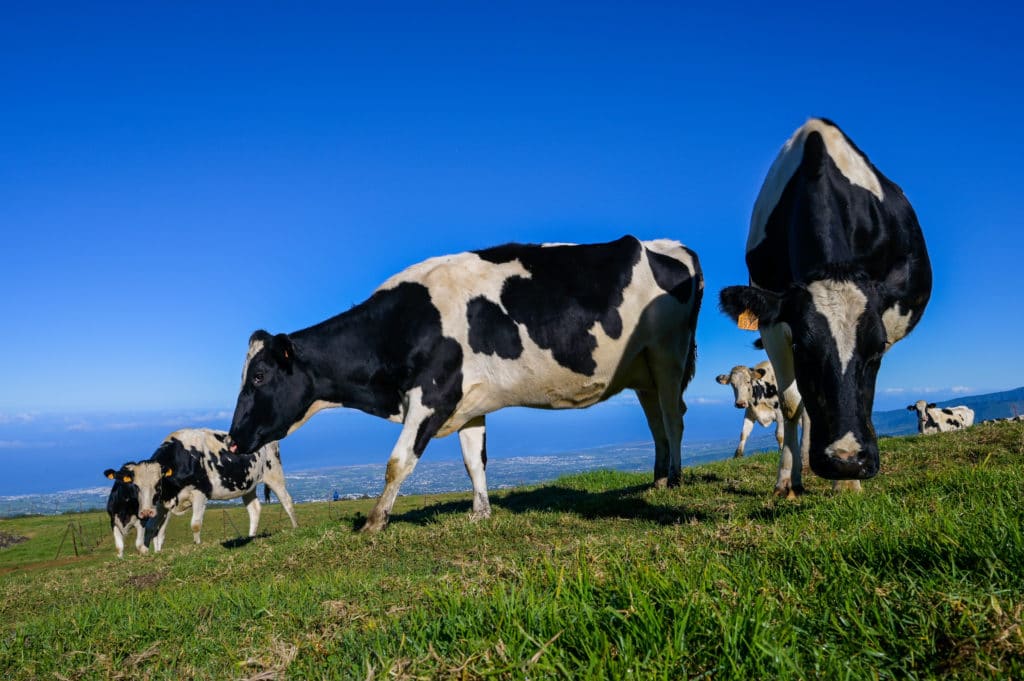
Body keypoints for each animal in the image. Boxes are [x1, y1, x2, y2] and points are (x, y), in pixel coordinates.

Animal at [112, 429, 298, 552]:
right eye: (136, 486)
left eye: (158, 484)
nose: (145, 512)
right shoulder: (163, 502)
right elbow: (152, 528)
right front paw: (150, 552)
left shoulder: (200, 493)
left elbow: (195, 524)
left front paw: (197, 546)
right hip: (247, 485)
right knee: (254, 509)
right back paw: (251, 537)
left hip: (274, 474)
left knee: (287, 501)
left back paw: (296, 527)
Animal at [227, 235, 703, 532]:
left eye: (259, 376)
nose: (232, 438)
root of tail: (668, 245)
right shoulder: (469, 404)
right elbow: (475, 461)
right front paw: (481, 512)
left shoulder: (433, 393)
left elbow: (398, 461)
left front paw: (375, 521)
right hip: (641, 367)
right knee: (657, 421)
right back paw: (657, 479)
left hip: (668, 352)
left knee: (674, 418)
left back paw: (675, 477)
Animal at [719, 118, 932, 497]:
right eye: (803, 348)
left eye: (877, 349)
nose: (845, 460)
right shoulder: (774, 320)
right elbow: (791, 404)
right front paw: (787, 480)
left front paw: (847, 485)